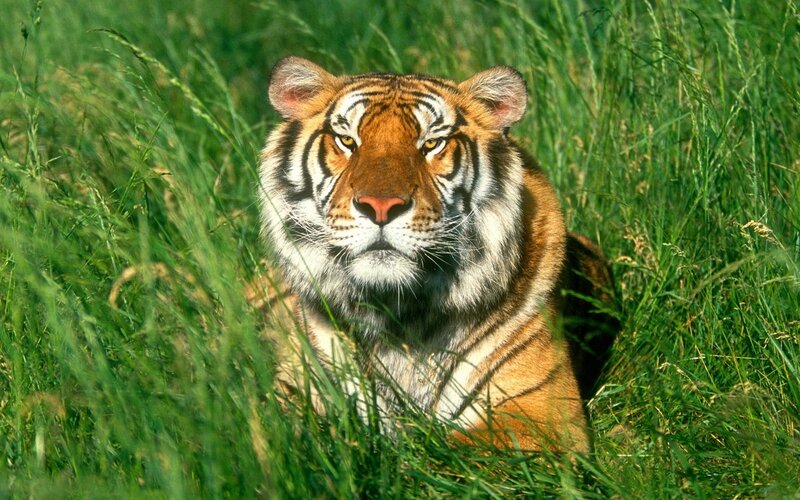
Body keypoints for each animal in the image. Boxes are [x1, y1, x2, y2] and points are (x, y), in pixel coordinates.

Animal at [257, 56, 618, 452]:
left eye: (431, 144)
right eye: (347, 140)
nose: (380, 206)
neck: (397, 314)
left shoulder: (540, 414)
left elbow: (443, 454)